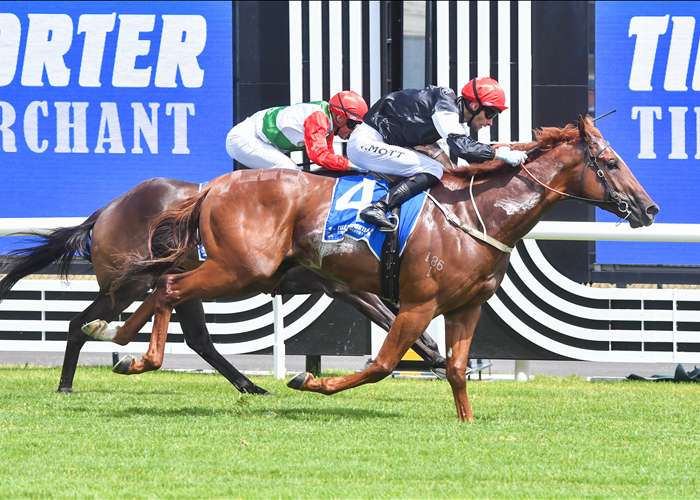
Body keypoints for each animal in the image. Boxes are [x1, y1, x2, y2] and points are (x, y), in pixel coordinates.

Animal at [0, 179, 447, 395]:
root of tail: (107, 209)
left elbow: (396, 316)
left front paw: (436, 356)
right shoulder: (342, 284)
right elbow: (388, 317)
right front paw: (437, 358)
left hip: (182, 285)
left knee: (199, 340)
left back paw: (251, 386)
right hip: (127, 285)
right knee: (78, 322)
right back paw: (66, 383)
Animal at [97, 115, 659, 421]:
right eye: (610, 162)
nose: (648, 208)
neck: (478, 212)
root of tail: (213, 186)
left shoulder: (466, 306)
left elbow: (456, 368)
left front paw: (467, 423)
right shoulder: (418, 304)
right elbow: (381, 365)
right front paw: (307, 381)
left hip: (241, 270)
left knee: (164, 287)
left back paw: (121, 341)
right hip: (242, 270)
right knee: (170, 285)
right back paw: (129, 348)